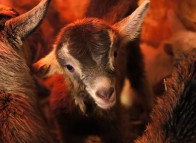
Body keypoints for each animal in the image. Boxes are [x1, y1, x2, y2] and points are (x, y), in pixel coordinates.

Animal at [33, 0, 151, 142]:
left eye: (115, 54)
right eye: (69, 67)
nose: (105, 93)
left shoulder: (117, 128)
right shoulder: (67, 131)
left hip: (135, 50)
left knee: (139, 78)